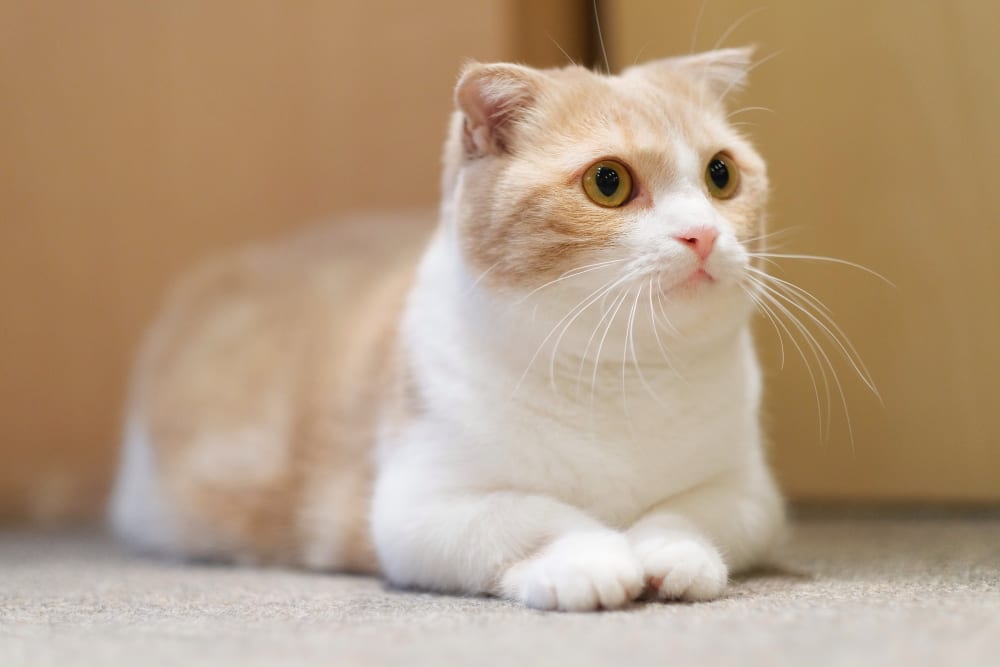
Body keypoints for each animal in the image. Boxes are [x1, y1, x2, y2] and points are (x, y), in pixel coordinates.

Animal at [111, 45, 788, 612]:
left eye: (721, 175)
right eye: (608, 181)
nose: (701, 234)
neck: (619, 374)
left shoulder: (750, 492)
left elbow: (688, 514)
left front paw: (672, 553)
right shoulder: (417, 508)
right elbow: (531, 514)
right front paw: (589, 560)